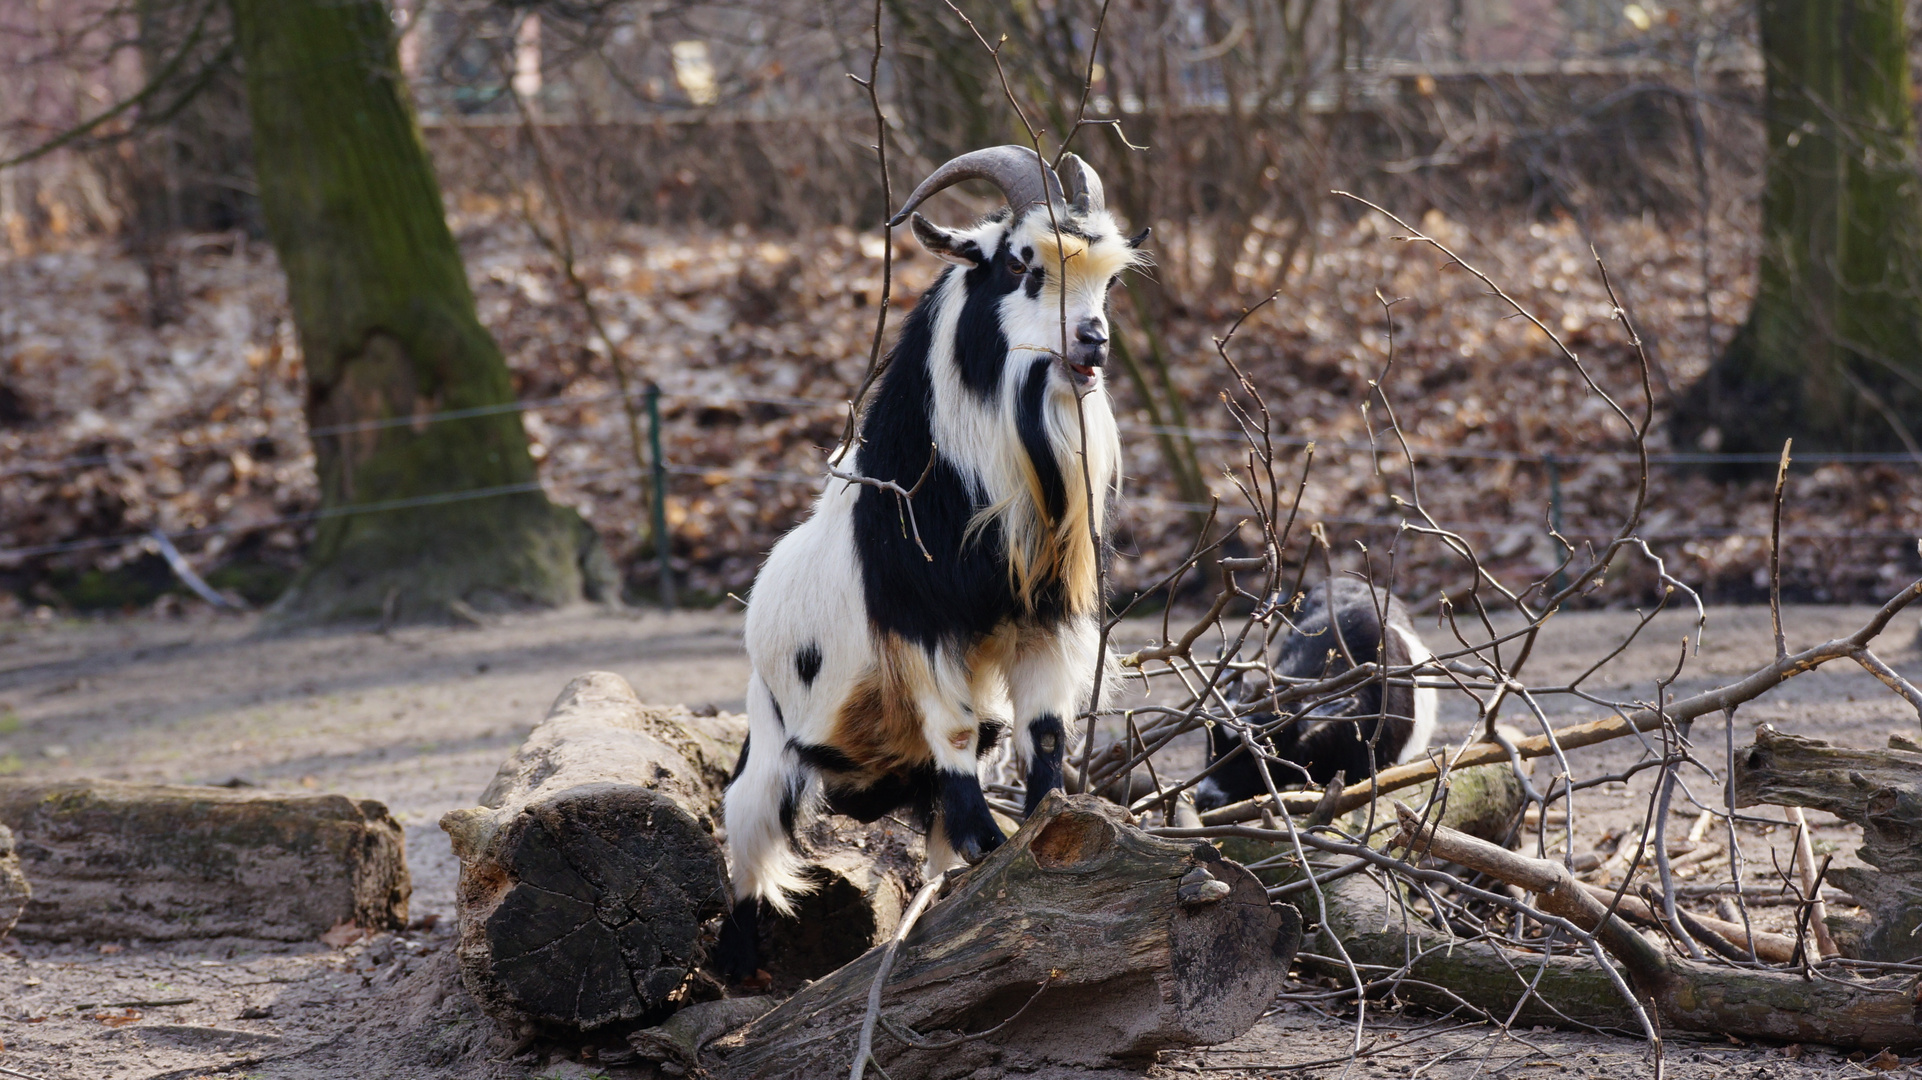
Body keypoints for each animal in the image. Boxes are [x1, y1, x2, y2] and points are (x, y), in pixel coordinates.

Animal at [718, 145, 1137, 976]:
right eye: (1023, 264)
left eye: (1109, 279)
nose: (1092, 341)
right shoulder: (917, 622)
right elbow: (954, 728)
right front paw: (988, 840)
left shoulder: (1044, 619)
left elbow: (1045, 729)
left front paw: (1042, 822)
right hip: (771, 751)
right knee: (747, 845)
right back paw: (735, 968)